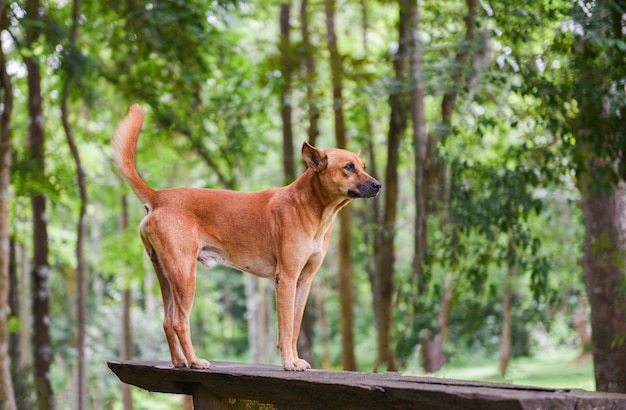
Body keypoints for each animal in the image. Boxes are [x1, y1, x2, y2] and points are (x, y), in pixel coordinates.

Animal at [112, 105, 380, 372]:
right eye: (349, 167)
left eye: (363, 165)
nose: (378, 185)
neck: (311, 208)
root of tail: (158, 196)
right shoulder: (286, 278)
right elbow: (285, 328)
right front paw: (289, 362)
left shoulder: (304, 281)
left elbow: (294, 327)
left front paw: (295, 359)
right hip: (184, 274)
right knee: (179, 321)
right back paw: (195, 361)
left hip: (166, 274)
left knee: (167, 321)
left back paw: (180, 362)